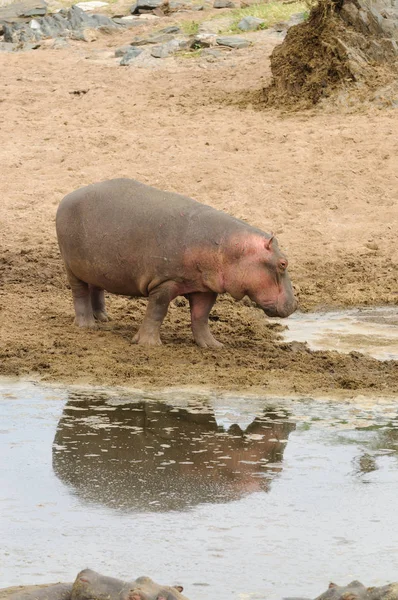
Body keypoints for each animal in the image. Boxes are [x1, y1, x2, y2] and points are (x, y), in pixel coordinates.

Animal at [56, 178, 298, 346]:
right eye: (283, 263)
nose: (295, 305)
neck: (230, 248)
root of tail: (67, 196)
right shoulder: (166, 282)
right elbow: (157, 311)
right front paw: (149, 344)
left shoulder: (204, 288)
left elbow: (201, 317)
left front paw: (213, 345)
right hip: (72, 268)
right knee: (79, 294)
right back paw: (87, 325)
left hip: (95, 267)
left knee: (96, 288)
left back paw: (104, 318)